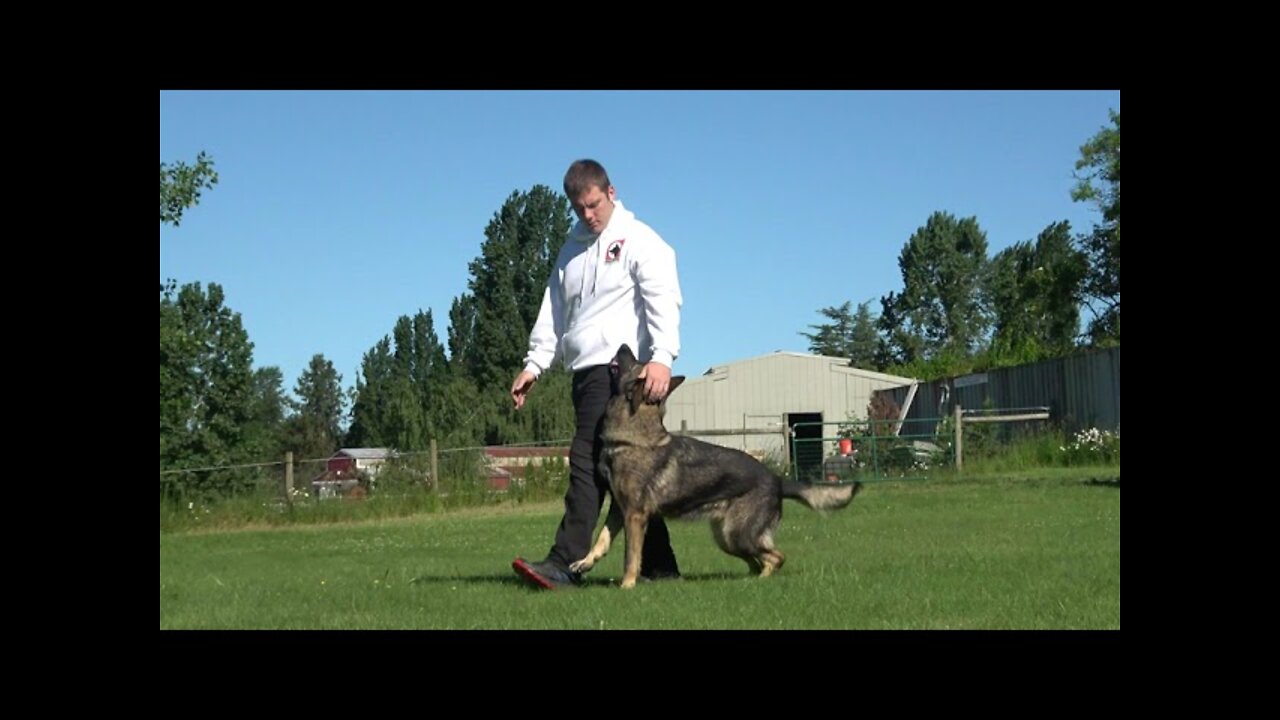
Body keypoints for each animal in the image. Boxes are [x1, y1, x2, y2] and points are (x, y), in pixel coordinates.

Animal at [570, 345, 860, 586]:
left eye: (634, 362)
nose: (622, 345)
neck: (632, 437)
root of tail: (778, 480)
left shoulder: (634, 515)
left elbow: (631, 557)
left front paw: (627, 586)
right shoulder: (619, 510)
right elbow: (601, 540)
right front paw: (584, 562)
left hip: (737, 535)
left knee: (777, 557)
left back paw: (759, 582)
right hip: (727, 539)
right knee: (760, 560)